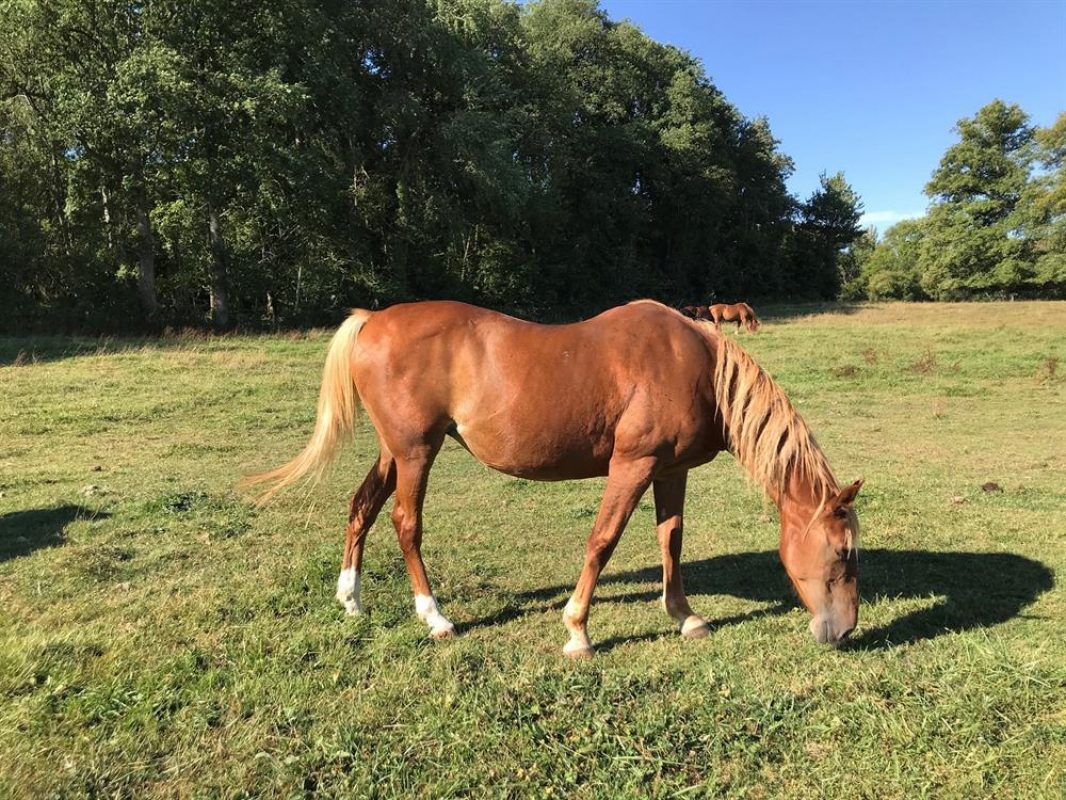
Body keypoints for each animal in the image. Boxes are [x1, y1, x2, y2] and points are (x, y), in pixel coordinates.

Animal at [246, 300, 861, 656]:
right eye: (841, 552)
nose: (845, 630)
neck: (698, 367)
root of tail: (373, 318)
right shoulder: (632, 465)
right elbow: (602, 541)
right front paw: (577, 631)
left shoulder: (670, 470)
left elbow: (671, 540)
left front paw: (684, 617)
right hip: (416, 452)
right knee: (405, 523)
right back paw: (435, 617)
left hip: (392, 451)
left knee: (362, 508)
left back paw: (350, 599)